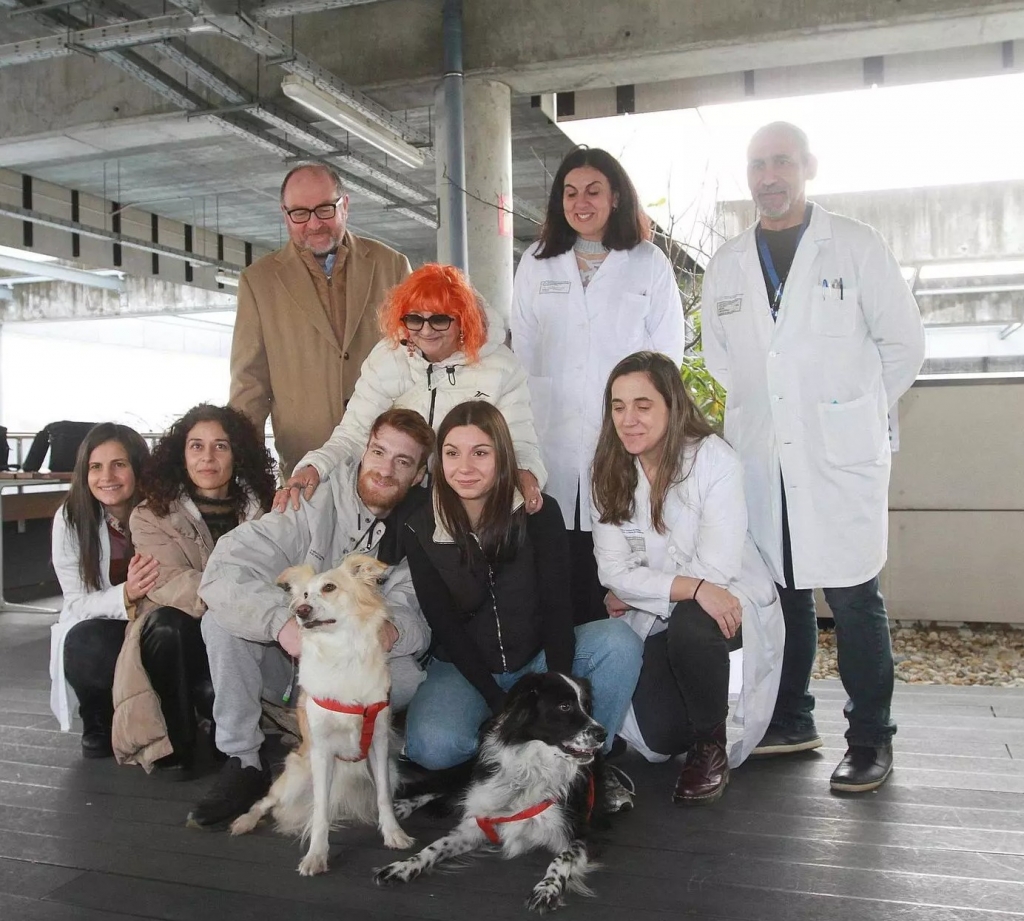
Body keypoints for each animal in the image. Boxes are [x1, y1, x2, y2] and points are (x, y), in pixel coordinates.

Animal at [229, 553, 411, 876]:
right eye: (303, 595)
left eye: (329, 587)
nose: (301, 611)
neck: (341, 655)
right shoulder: (322, 751)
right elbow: (321, 810)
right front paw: (316, 854)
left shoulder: (378, 745)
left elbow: (383, 797)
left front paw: (393, 834)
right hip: (296, 775)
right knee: (267, 800)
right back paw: (245, 821)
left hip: (388, 769)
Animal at [376, 667, 606, 913]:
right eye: (565, 706)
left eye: (587, 706)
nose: (603, 734)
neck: (533, 770)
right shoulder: (478, 822)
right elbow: (436, 846)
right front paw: (403, 867)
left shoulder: (584, 833)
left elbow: (562, 858)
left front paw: (547, 888)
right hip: (468, 776)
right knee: (439, 786)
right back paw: (400, 807)